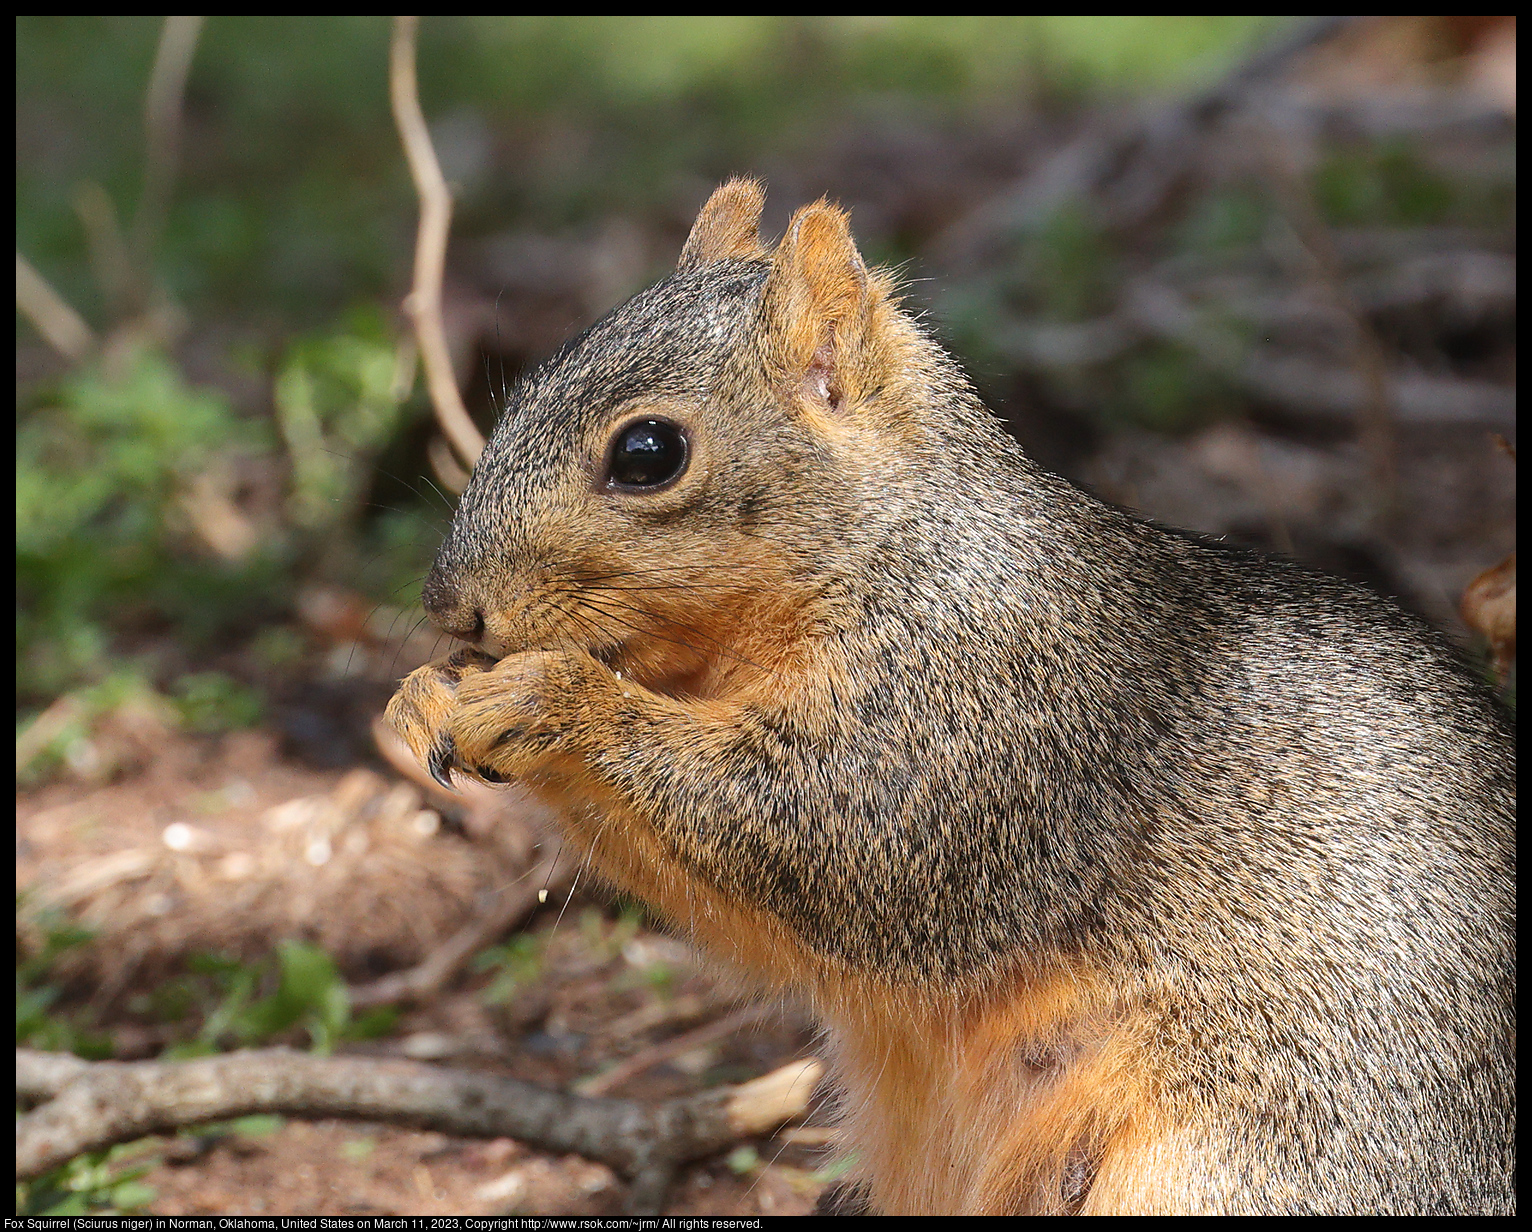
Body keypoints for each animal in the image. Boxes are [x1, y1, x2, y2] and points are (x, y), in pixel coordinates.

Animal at [389, 180, 1513, 1213]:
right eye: (526, 385)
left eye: (648, 453)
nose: (450, 607)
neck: (880, 549)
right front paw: (417, 701)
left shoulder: (989, 703)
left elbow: (841, 833)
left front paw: (551, 695)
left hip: (1239, 1169)